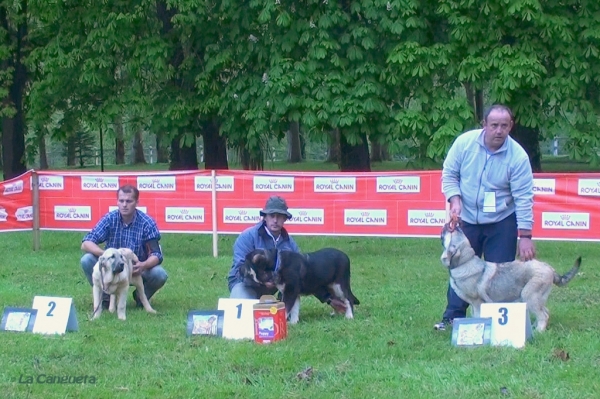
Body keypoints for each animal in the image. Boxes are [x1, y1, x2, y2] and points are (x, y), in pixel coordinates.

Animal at [440, 216, 580, 332]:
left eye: (453, 233)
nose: (451, 224)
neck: (465, 262)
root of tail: (550, 268)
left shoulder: (477, 302)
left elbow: (478, 316)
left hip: (529, 295)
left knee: (543, 315)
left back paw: (539, 332)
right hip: (537, 298)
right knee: (545, 311)